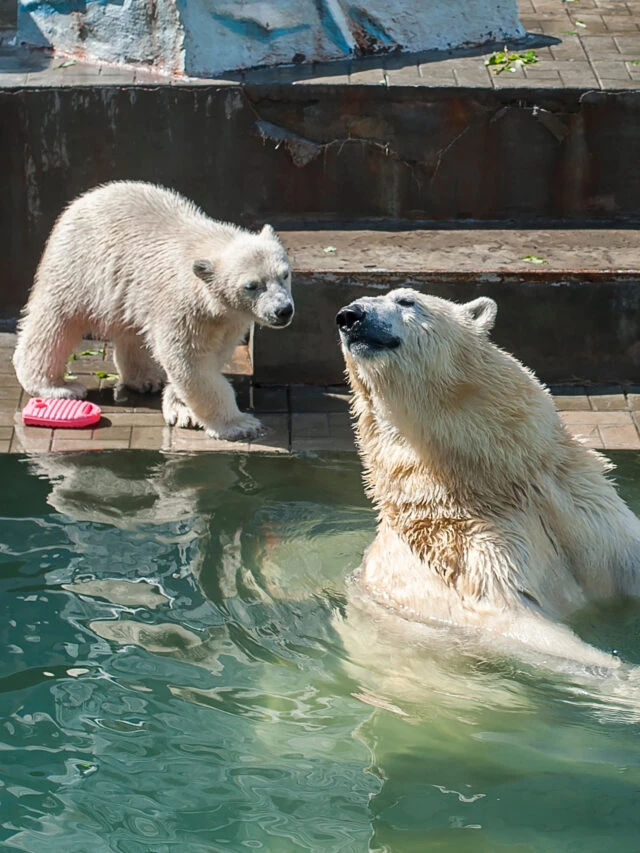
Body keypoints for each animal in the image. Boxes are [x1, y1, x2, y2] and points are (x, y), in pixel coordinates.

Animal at [13, 181, 294, 441]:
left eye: (285, 274)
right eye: (252, 285)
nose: (283, 310)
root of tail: (84, 199)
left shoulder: (228, 318)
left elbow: (210, 357)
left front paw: (180, 408)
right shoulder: (182, 305)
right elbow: (190, 361)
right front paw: (239, 424)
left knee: (132, 329)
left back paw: (146, 378)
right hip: (79, 266)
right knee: (56, 324)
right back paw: (56, 387)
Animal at [336, 287, 640, 670]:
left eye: (406, 300)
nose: (350, 316)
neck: (494, 481)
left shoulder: (580, 502)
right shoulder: (464, 553)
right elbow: (512, 619)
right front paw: (622, 671)